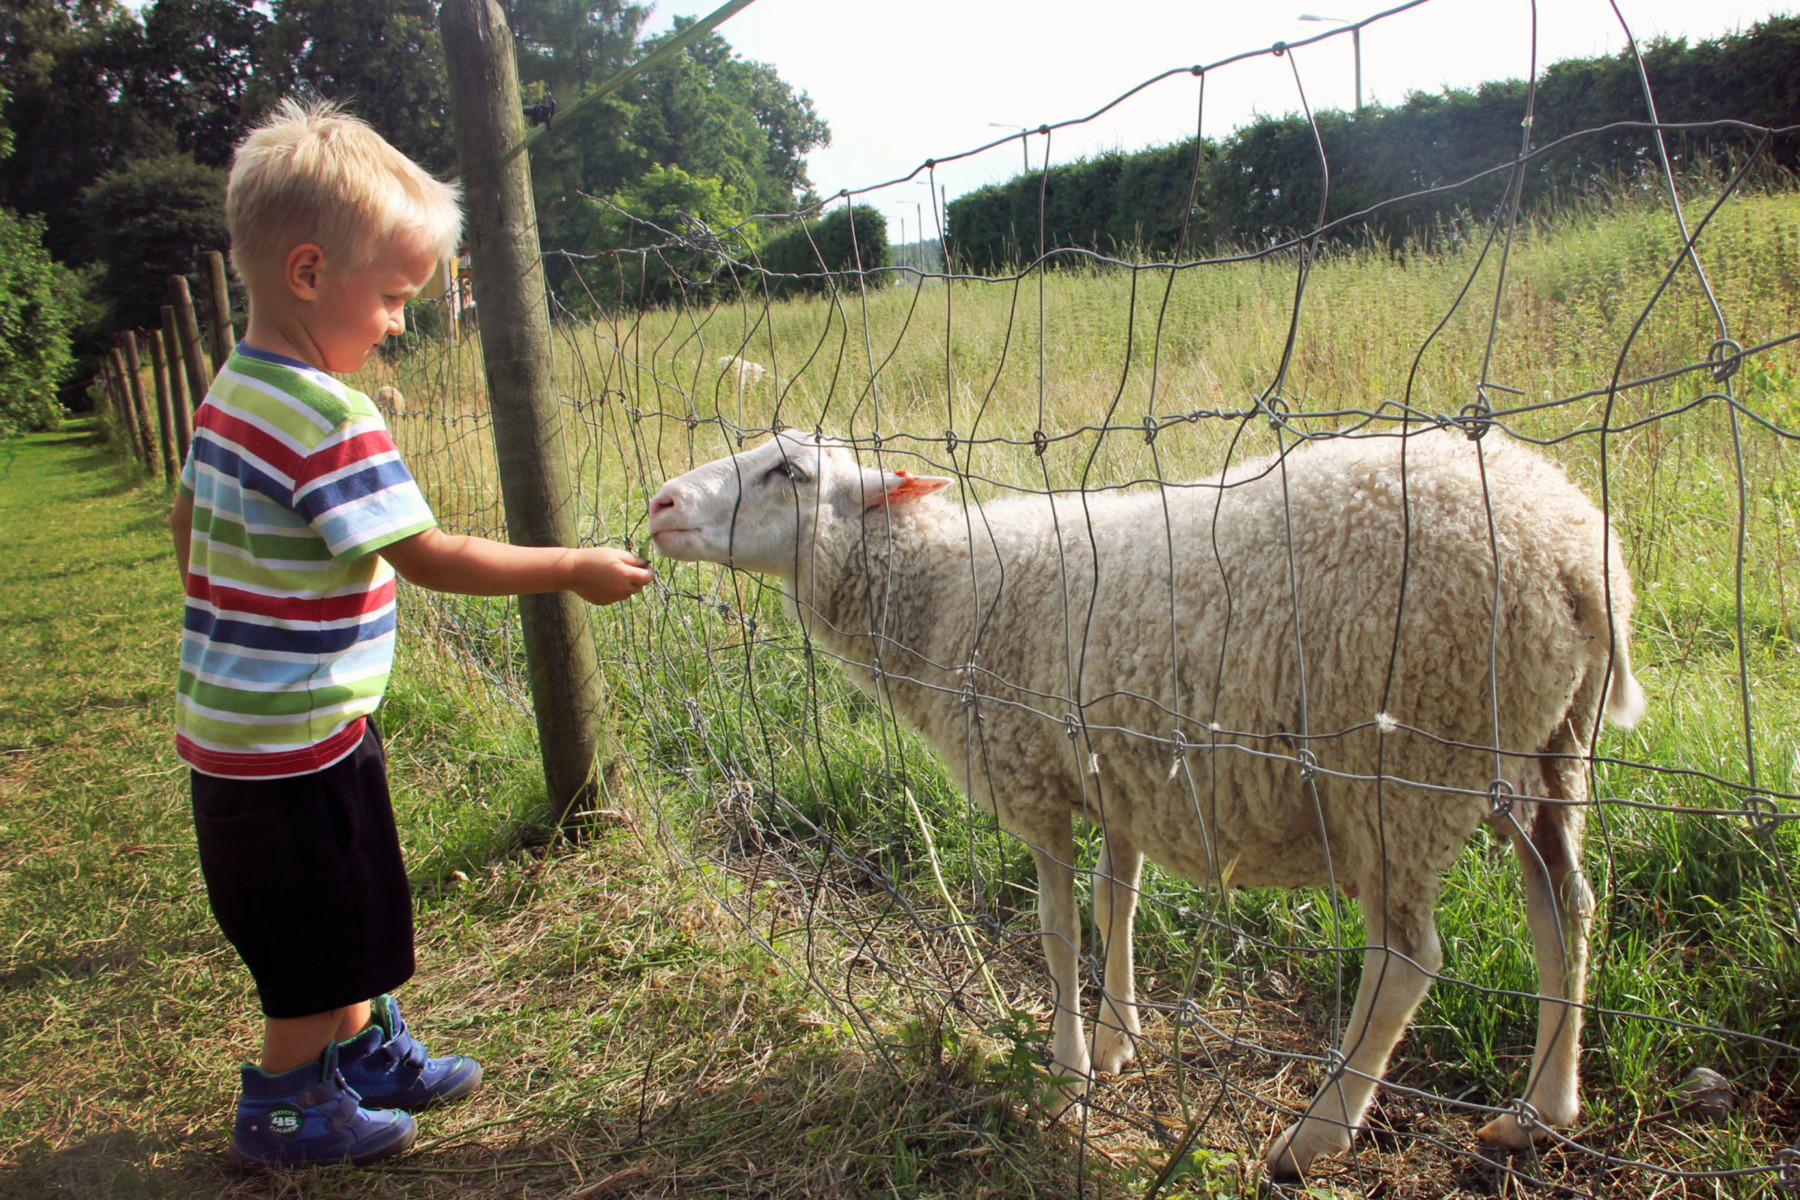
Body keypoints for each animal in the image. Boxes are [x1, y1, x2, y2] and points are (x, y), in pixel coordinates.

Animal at [648, 426, 1648, 1180]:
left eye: (790, 473)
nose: (659, 505)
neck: (944, 594)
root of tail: (1577, 553)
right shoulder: (1116, 776)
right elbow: (1113, 904)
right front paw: (1120, 1038)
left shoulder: (1032, 777)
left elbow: (1057, 931)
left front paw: (1066, 1078)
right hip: (1545, 751)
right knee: (1566, 904)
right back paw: (1542, 1109)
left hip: (1404, 766)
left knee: (1406, 960)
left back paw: (1317, 1133)